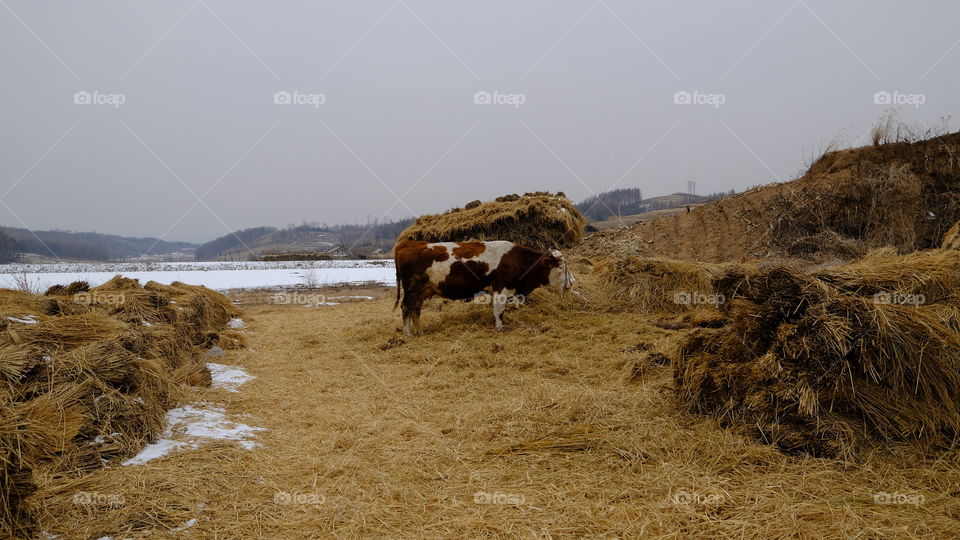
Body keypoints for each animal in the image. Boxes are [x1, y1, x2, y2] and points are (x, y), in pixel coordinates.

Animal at [393, 240, 575, 336]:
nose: (571, 282)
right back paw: (408, 334)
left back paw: (420, 332)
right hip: (412, 289)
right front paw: (500, 327)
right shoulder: (501, 288)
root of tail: (407, 244)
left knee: (415, 310)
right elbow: (499, 310)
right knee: (406, 307)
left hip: (421, 291)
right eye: (560, 266)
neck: (516, 259)